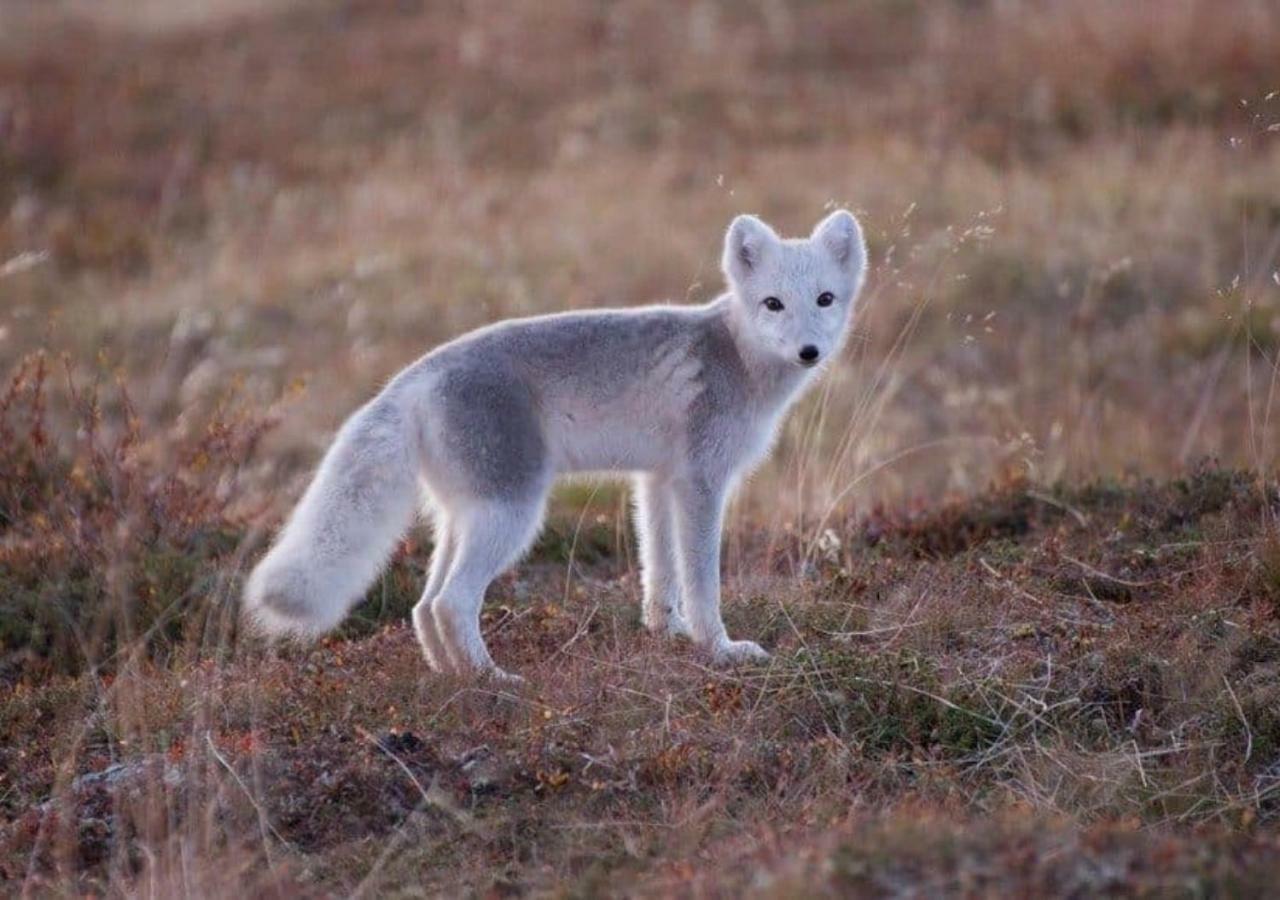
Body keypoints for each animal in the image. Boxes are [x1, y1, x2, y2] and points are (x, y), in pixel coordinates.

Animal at [244, 209, 865, 675]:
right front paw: (718, 648)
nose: (809, 351)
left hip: (465, 516)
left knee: (423, 606)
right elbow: (701, 579)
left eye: (826, 299)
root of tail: (413, 377)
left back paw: (450, 675)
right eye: (773, 304)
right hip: (513, 513)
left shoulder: (658, 480)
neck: (736, 353)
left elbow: (658, 569)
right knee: (451, 602)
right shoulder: (701, 482)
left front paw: (666, 631)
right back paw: (492, 680)